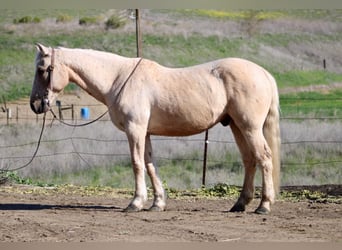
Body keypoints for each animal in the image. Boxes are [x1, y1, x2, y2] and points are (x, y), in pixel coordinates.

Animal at [30, 42, 280, 213]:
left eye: (42, 69)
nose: (35, 104)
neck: (118, 79)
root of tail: (264, 73)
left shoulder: (135, 130)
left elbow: (137, 164)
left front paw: (135, 203)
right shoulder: (146, 133)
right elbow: (150, 165)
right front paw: (157, 203)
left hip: (250, 127)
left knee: (264, 158)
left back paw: (264, 205)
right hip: (237, 126)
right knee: (249, 160)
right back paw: (240, 204)